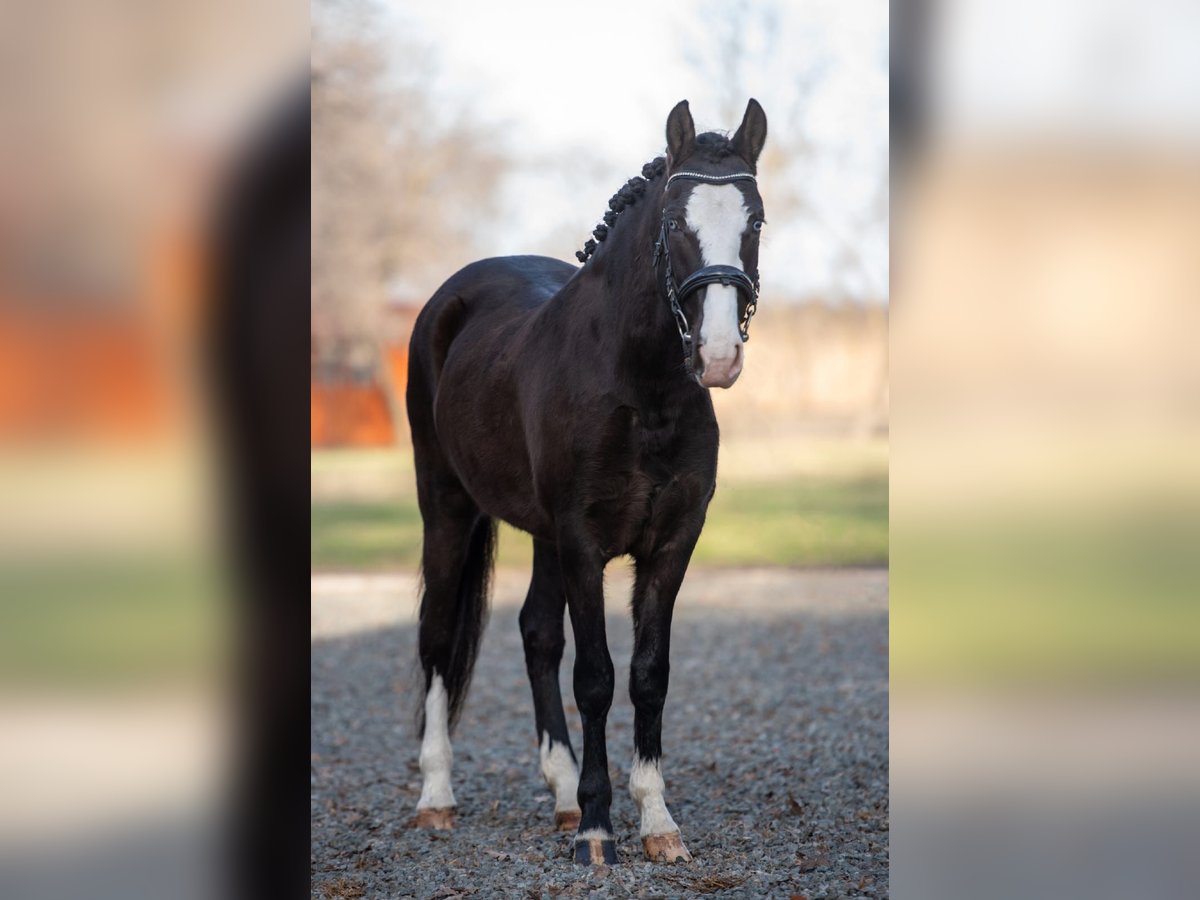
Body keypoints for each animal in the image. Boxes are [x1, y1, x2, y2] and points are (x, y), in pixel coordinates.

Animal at [408, 98, 772, 868]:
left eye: (753, 222)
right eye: (675, 223)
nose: (718, 356)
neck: (641, 389)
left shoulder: (669, 545)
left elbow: (648, 675)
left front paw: (656, 821)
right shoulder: (583, 544)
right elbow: (597, 678)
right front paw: (602, 831)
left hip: (541, 536)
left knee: (536, 634)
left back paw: (564, 794)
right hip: (447, 508)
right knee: (437, 636)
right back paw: (437, 798)